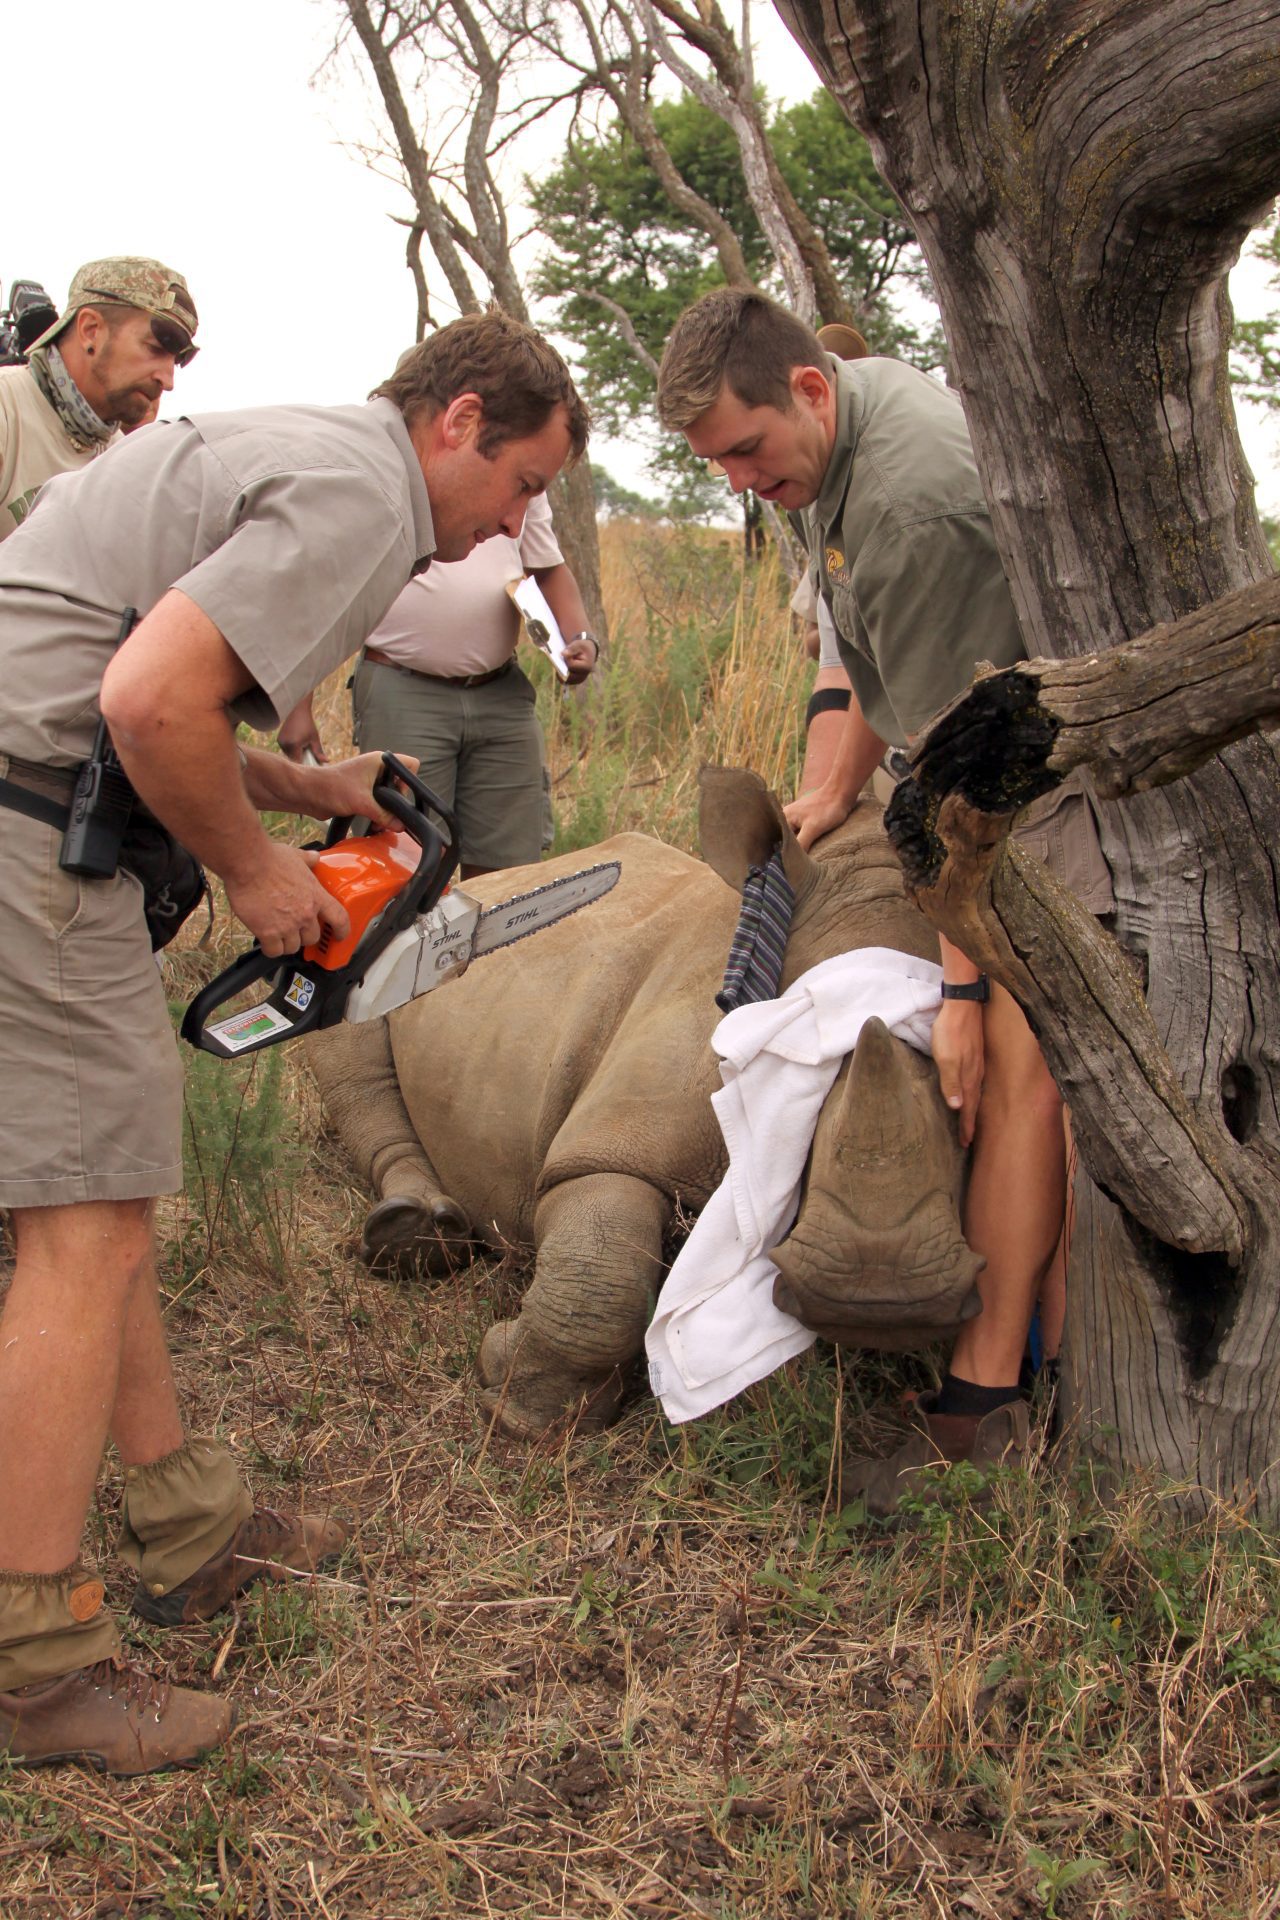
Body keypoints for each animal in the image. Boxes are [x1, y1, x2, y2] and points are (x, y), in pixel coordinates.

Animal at [307, 767, 983, 1437]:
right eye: (790, 1060)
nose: (879, 1297)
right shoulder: (621, 1132)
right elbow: (605, 1262)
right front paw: (519, 1408)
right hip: (368, 955)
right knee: (352, 1060)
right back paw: (413, 1237)